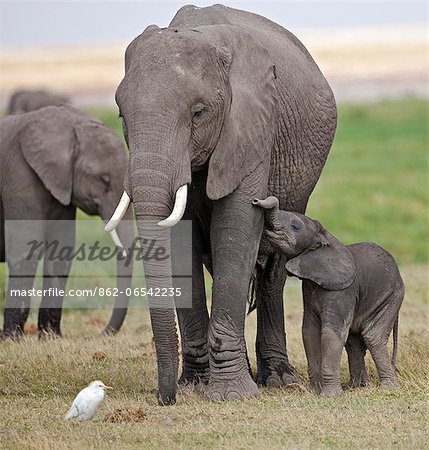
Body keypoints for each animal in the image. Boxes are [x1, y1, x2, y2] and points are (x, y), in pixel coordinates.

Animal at [0, 105, 133, 338]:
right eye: (103, 181)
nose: (98, 334)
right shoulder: (19, 177)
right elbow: (23, 249)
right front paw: (12, 338)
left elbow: (60, 251)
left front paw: (51, 337)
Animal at [107, 3, 338, 404]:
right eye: (121, 115)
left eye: (198, 113)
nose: (164, 398)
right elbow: (182, 241)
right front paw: (194, 385)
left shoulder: (253, 127)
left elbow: (236, 229)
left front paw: (232, 394)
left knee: (271, 270)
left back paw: (277, 378)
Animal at [252, 197, 402, 398]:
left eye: (295, 226)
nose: (257, 200)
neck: (324, 238)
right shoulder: (309, 289)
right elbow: (309, 332)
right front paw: (313, 392)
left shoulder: (342, 292)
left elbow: (330, 335)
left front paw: (330, 396)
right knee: (353, 341)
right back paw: (357, 387)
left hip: (391, 297)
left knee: (372, 335)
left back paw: (388, 389)